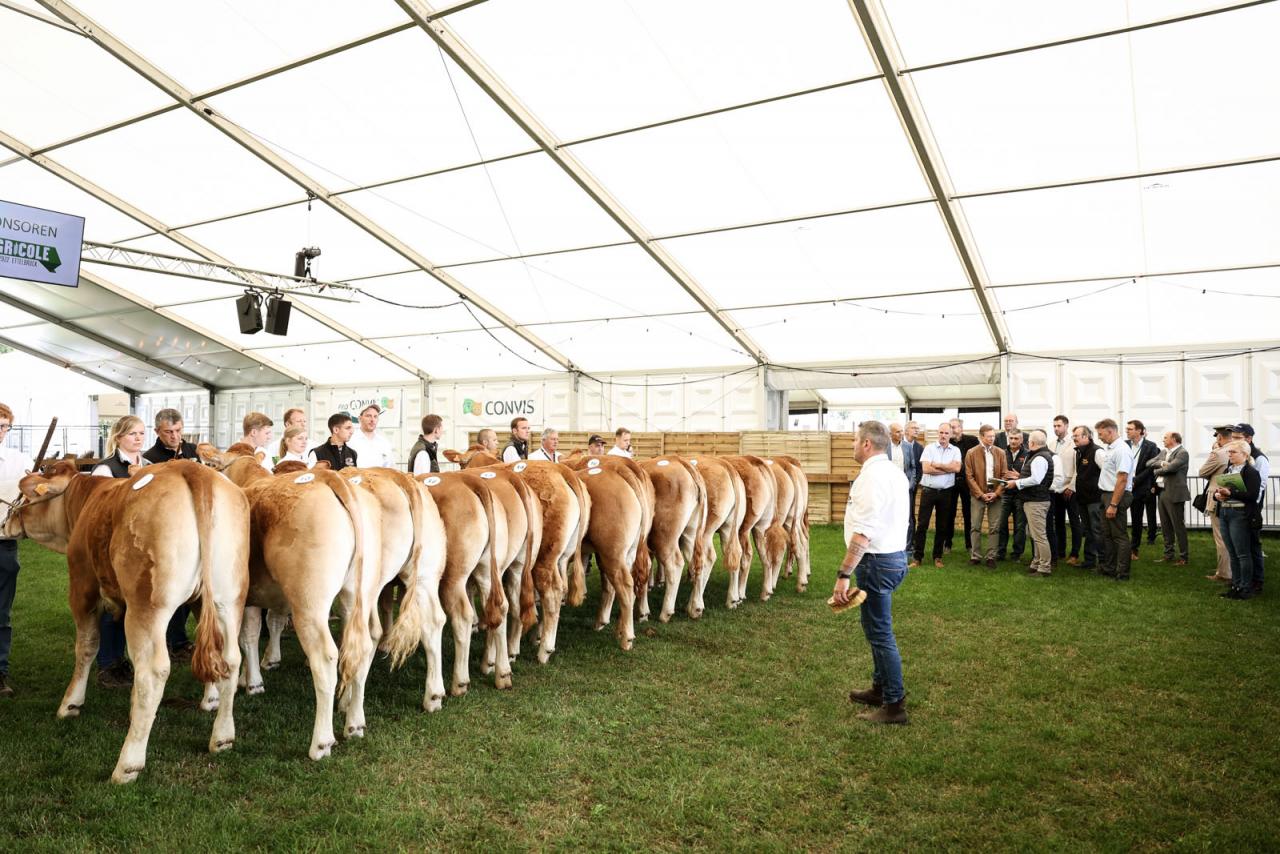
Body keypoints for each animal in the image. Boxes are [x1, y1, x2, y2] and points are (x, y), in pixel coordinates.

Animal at [2, 460, 248, 783]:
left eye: (24, 498)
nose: (5, 524)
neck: (85, 502)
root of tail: (194, 470)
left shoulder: (82, 586)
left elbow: (86, 647)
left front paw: (70, 704)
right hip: (229, 597)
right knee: (230, 658)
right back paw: (223, 737)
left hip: (147, 605)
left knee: (153, 671)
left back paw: (127, 765)